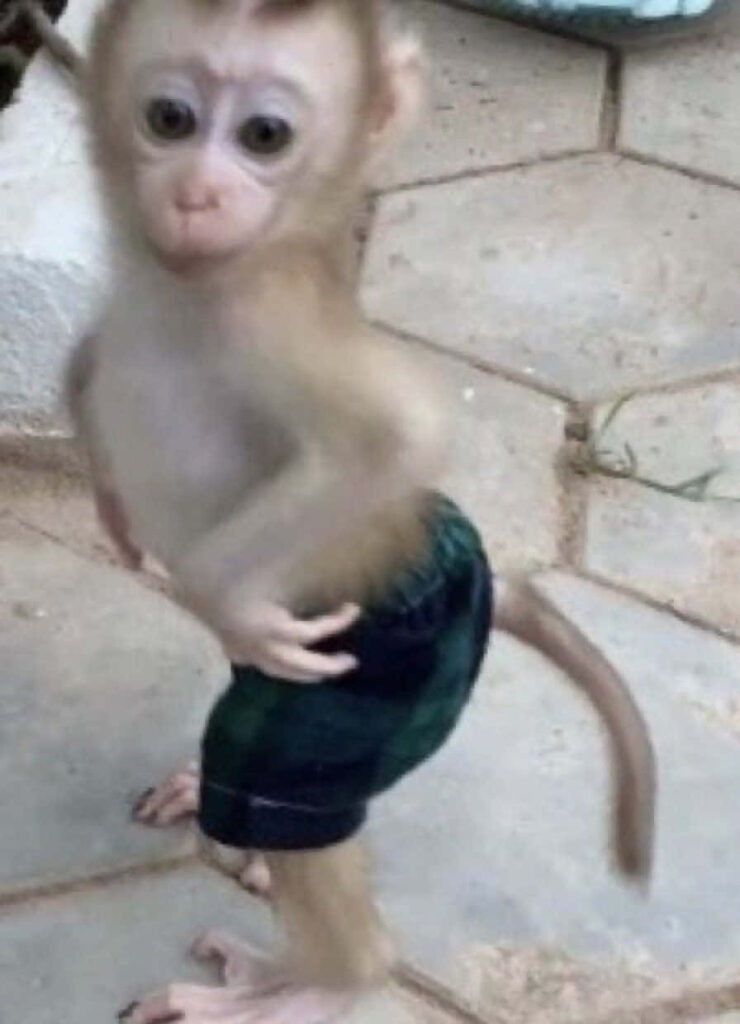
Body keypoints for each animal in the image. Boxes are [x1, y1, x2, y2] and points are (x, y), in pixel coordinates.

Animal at [61, 1, 656, 1021]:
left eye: (265, 136)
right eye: (169, 119)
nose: (197, 196)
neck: (183, 287)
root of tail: (466, 562)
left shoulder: (272, 321)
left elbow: (396, 437)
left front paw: (222, 592)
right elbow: (90, 357)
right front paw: (105, 473)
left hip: (382, 680)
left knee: (288, 801)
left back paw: (316, 982)